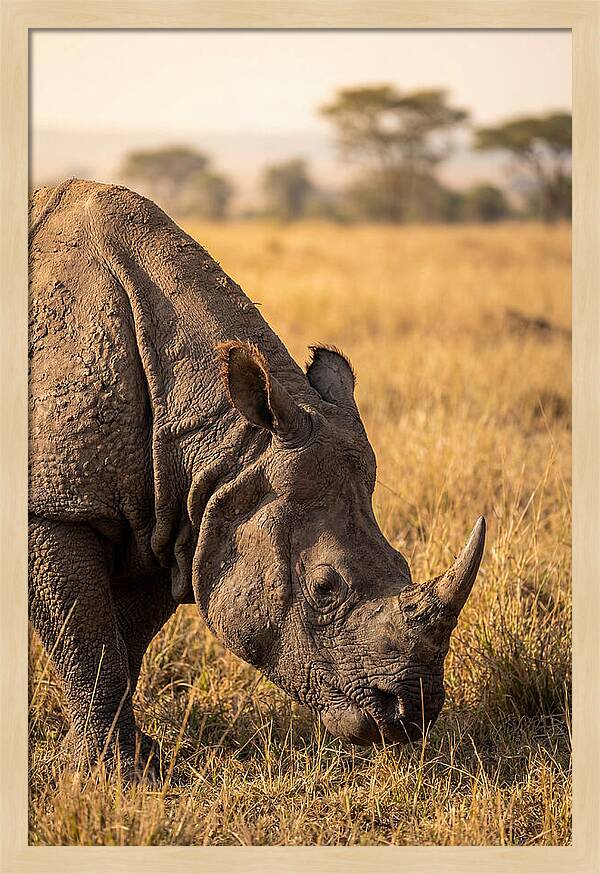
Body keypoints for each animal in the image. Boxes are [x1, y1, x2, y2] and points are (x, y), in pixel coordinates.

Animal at [29, 179, 485, 779]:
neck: (223, 442)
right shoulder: (58, 505)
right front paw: (114, 776)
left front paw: (134, 763)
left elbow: (122, 644)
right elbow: (91, 650)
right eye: (324, 590)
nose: (412, 715)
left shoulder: (173, 516)